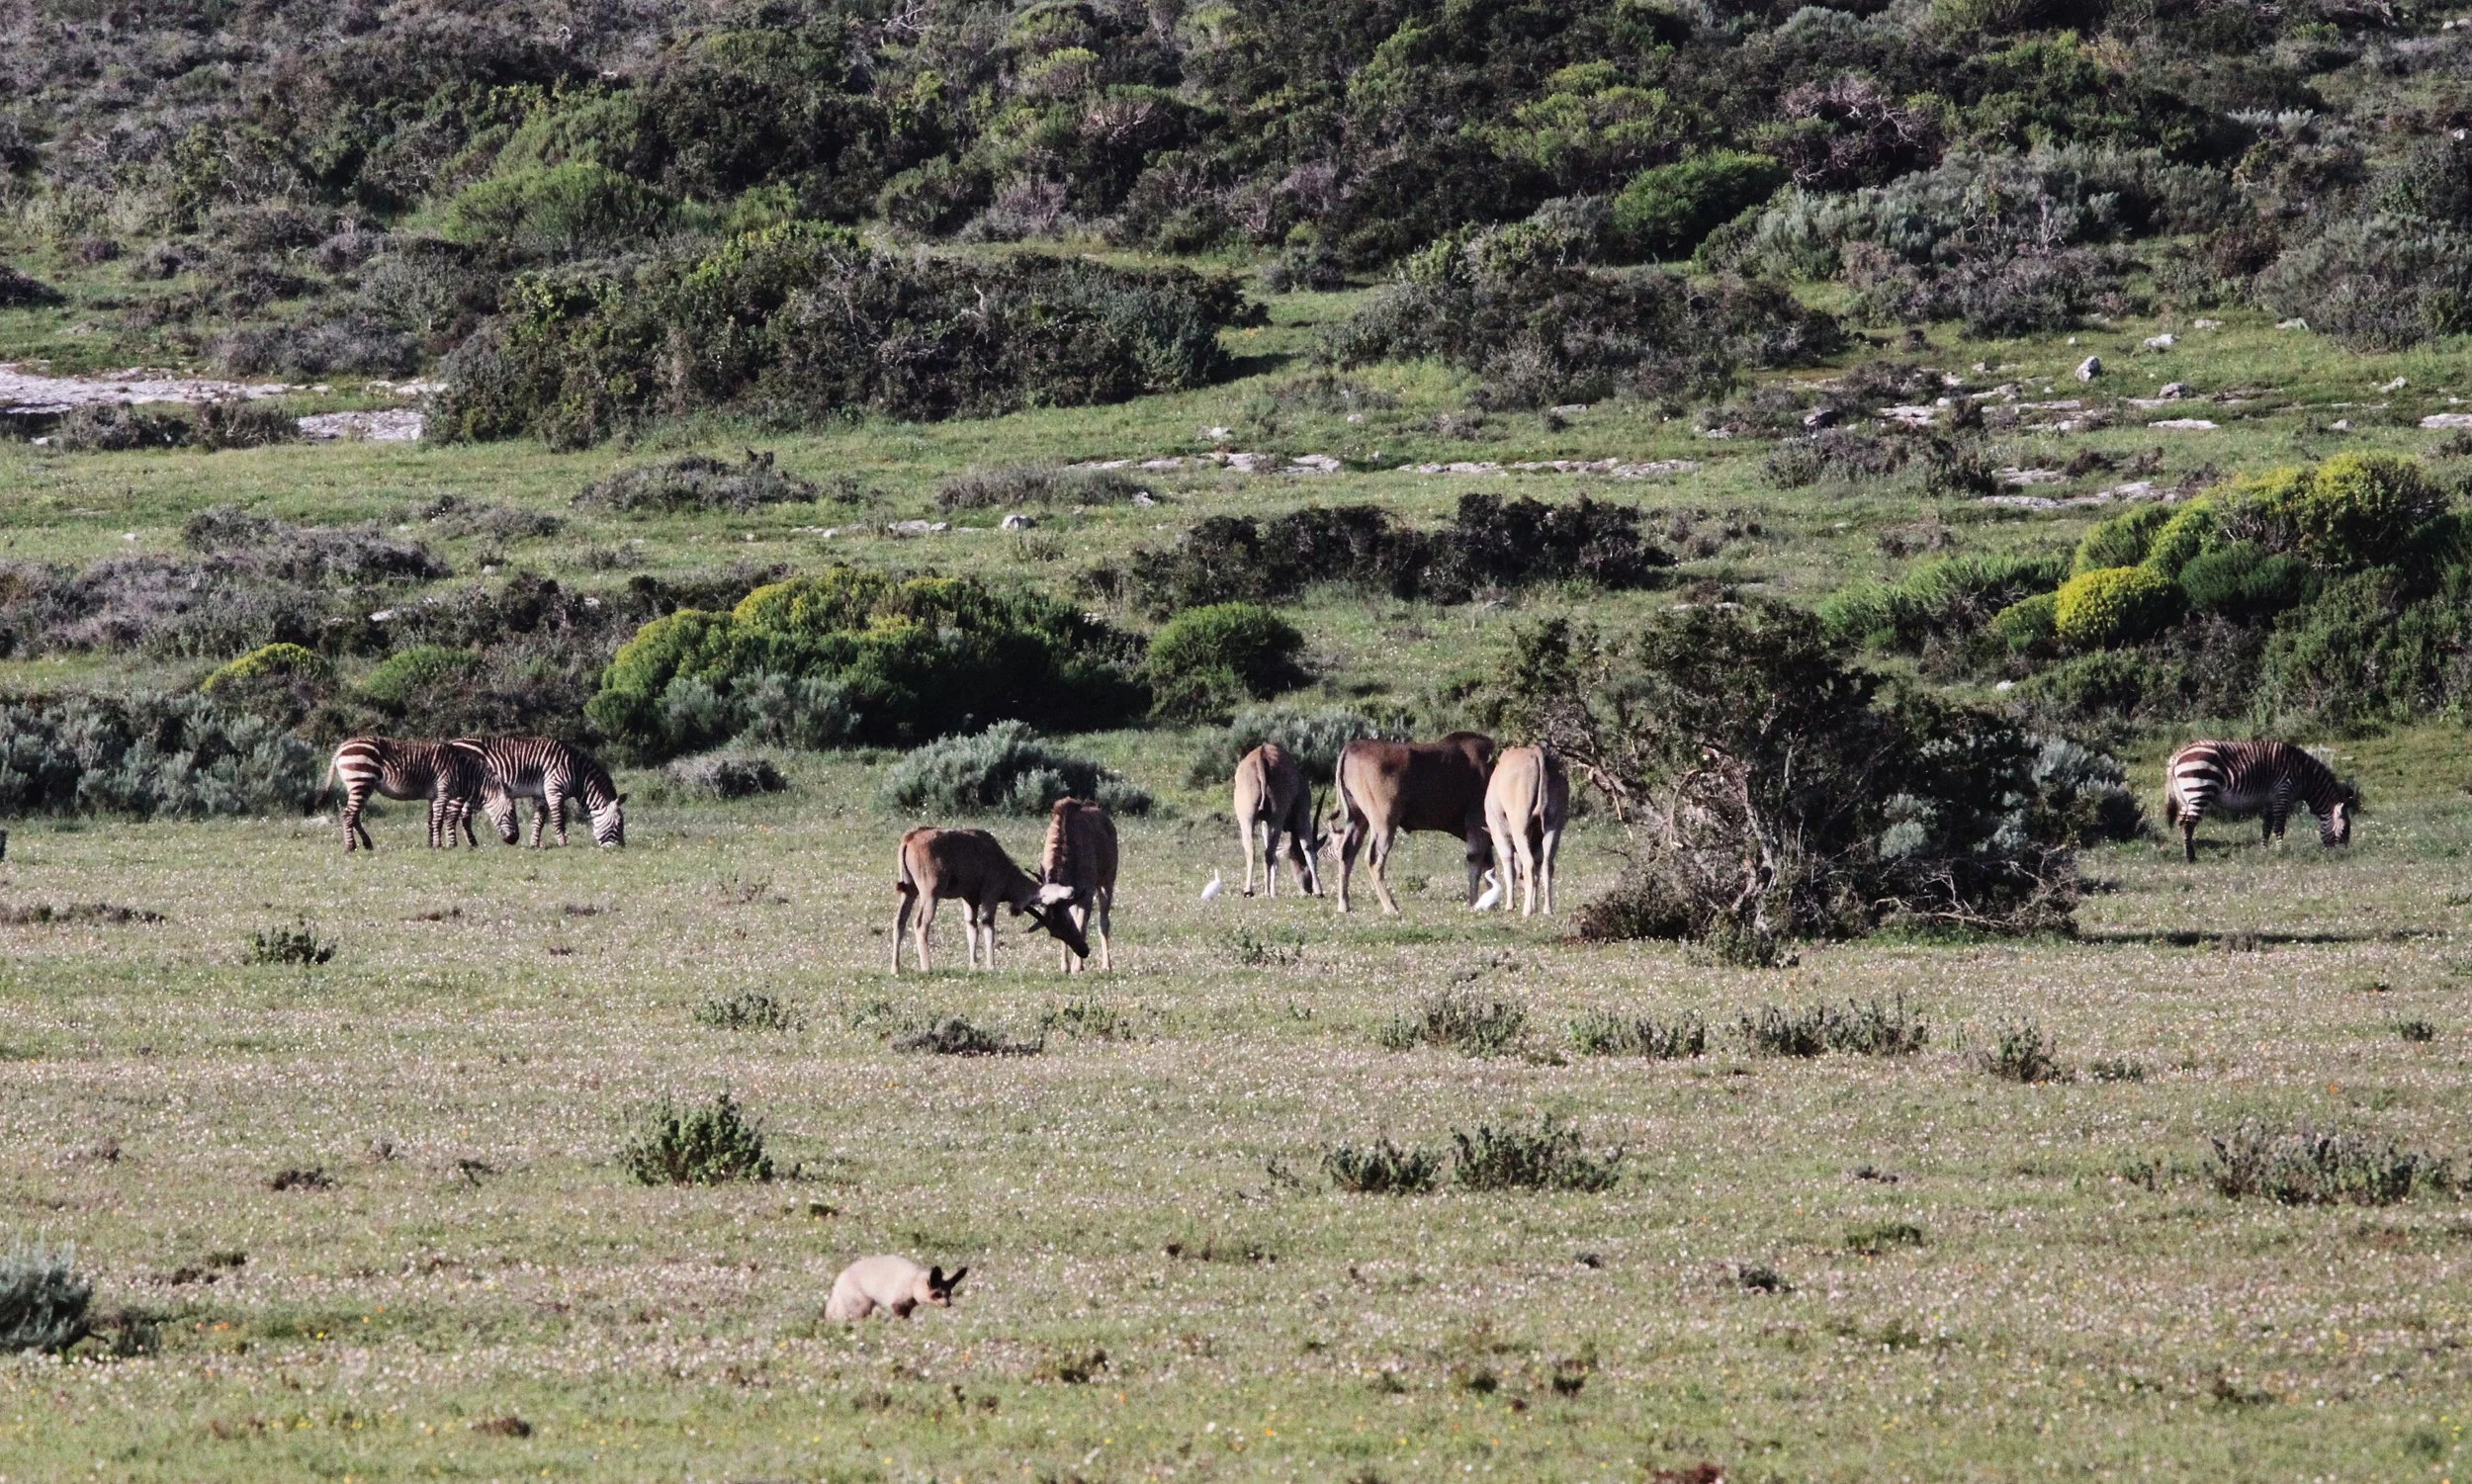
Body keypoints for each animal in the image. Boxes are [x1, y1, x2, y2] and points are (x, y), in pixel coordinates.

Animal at [824, 1255, 968, 1321]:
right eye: (937, 1294)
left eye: (949, 1294)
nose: (947, 1304)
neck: (914, 1281)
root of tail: (837, 1283)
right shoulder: (897, 1301)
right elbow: (900, 1315)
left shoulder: (908, 1305)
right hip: (861, 1303)